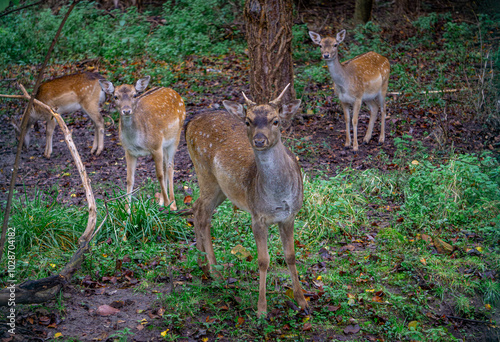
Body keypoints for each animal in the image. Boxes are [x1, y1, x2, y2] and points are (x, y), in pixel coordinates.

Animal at [98, 76, 185, 212]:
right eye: (115, 96)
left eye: (134, 95)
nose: (126, 110)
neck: (137, 140)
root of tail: (175, 92)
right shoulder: (129, 151)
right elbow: (129, 179)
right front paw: (127, 211)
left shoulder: (156, 146)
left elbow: (159, 175)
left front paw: (168, 205)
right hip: (165, 144)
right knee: (166, 166)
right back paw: (161, 202)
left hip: (177, 135)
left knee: (170, 166)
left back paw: (172, 203)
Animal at [185, 83, 308, 318]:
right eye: (248, 121)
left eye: (275, 120)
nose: (259, 140)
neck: (278, 196)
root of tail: (190, 123)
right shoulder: (257, 216)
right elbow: (263, 261)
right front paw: (261, 310)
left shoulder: (290, 215)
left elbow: (290, 255)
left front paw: (302, 301)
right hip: (204, 172)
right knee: (202, 213)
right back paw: (215, 272)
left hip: (221, 188)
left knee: (197, 207)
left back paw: (202, 263)